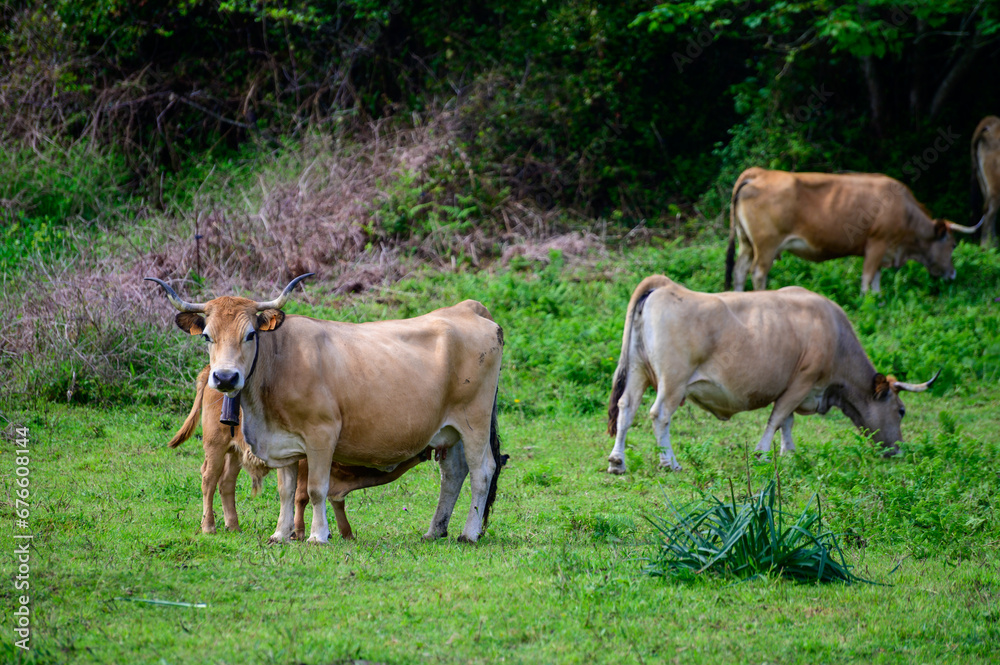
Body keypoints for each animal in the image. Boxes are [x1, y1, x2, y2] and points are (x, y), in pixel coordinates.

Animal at [146, 272, 508, 544]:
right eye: (207, 336)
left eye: (250, 334)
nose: (224, 377)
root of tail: (468, 307)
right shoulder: (286, 444)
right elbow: (286, 491)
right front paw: (280, 534)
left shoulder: (322, 436)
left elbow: (315, 489)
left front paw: (317, 536)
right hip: (449, 429)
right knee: (454, 474)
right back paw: (435, 531)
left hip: (474, 420)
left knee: (482, 470)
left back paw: (469, 533)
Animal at [604, 274, 940, 472]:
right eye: (901, 410)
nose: (898, 450)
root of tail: (666, 285)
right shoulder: (801, 381)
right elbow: (777, 418)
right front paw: (763, 453)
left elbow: (787, 422)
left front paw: (789, 453)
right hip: (673, 381)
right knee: (660, 414)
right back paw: (669, 462)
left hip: (637, 371)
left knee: (626, 408)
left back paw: (618, 461)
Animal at [728, 167, 984, 292]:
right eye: (953, 244)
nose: (953, 274)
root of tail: (760, 173)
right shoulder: (877, 244)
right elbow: (867, 277)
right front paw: (865, 301)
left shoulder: (883, 251)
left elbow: (876, 280)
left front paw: (878, 301)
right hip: (766, 246)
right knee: (758, 273)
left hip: (746, 243)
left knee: (739, 272)